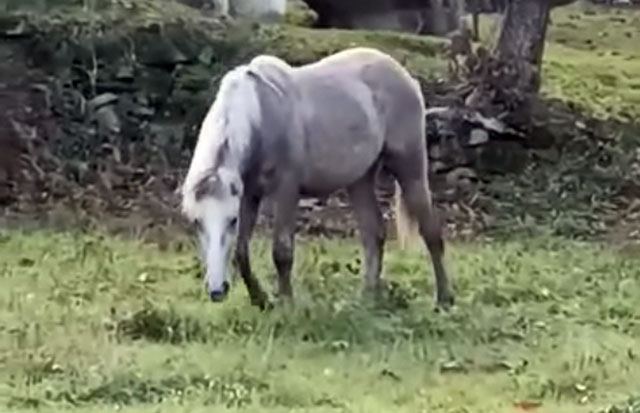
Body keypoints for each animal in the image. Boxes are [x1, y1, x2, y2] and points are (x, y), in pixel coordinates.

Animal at [180, 45, 456, 308]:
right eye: (196, 222)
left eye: (231, 220)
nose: (217, 291)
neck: (260, 115)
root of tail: (405, 76)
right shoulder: (249, 194)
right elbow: (241, 252)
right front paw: (261, 300)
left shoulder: (286, 190)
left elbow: (282, 251)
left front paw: (286, 304)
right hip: (360, 179)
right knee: (374, 233)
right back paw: (367, 298)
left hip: (410, 167)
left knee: (430, 231)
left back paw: (444, 299)